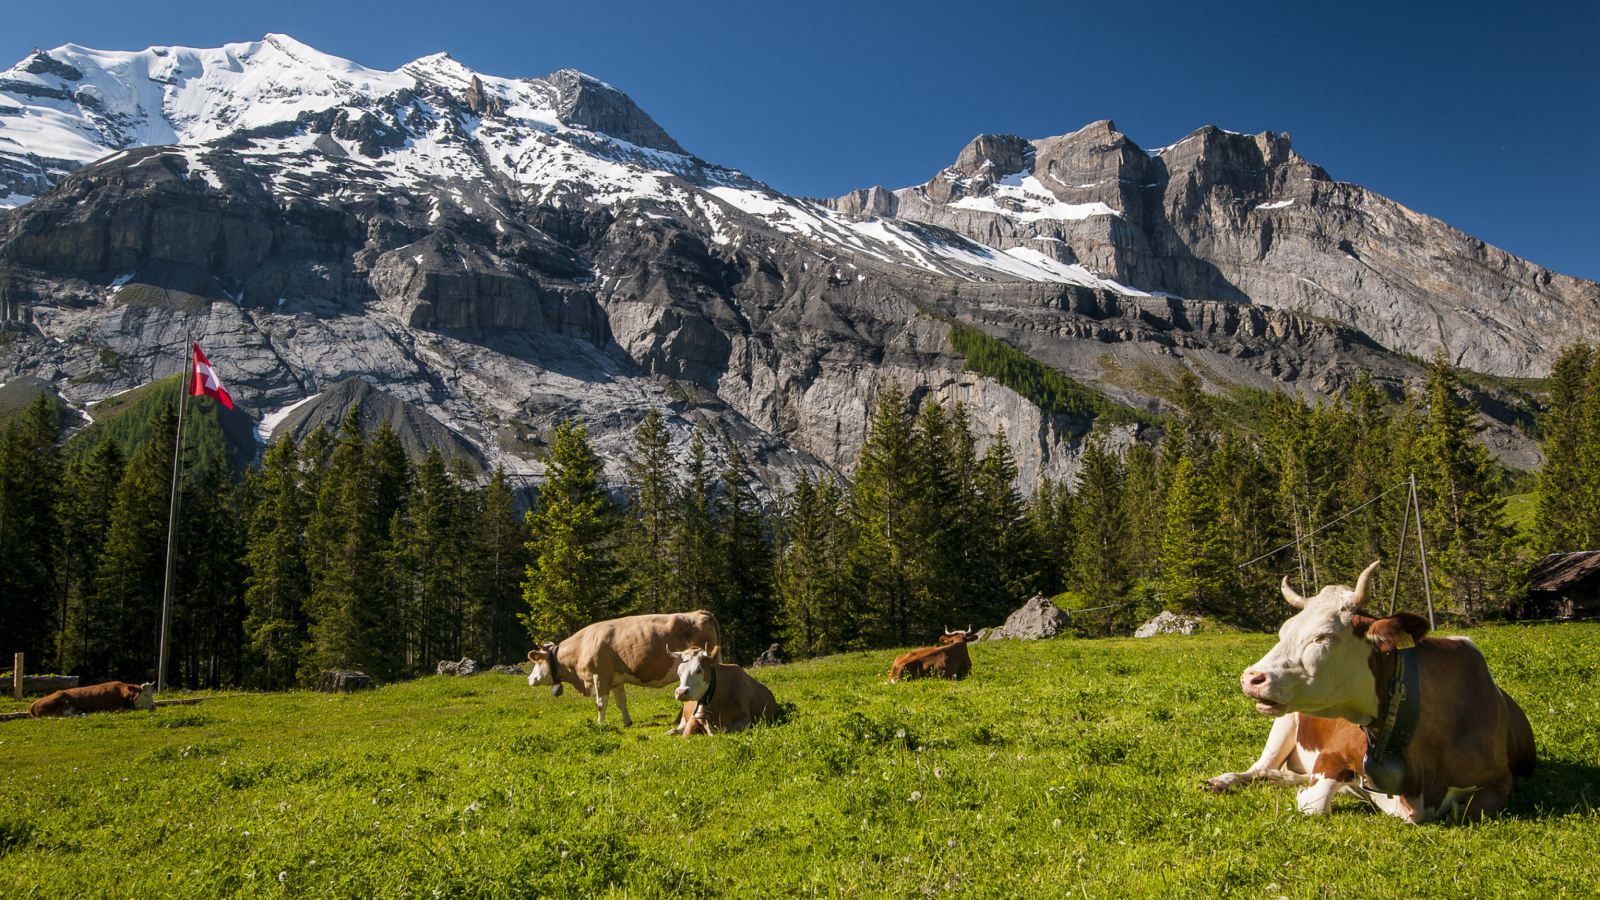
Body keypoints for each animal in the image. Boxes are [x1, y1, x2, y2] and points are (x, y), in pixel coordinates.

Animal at [524, 605, 720, 723]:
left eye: (537, 662)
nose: (529, 679)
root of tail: (701, 612)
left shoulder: (600, 677)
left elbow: (601, 703)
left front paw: (600, 723)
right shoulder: (616, 680)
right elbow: (621, 702)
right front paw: (627, 722)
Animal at [1209, 560, 1536, 819]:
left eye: (1324, 636)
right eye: (1283, 631)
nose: (1250, 677)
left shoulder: (1501, 781)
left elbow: (1467, 811)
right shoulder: (1334, 752)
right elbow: (1315, 803)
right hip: (1285, 723)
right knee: (1257, 768)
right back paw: (1224, 780)